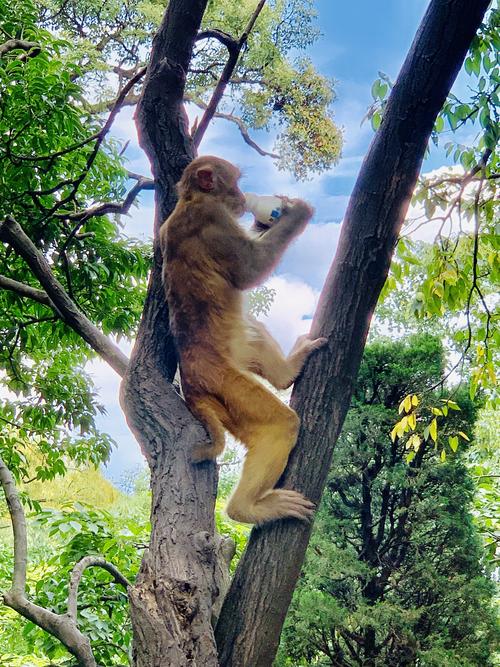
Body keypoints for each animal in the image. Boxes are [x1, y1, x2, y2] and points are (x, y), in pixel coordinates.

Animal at [158, 154, 326, 524]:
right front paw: (295, 212)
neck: (190, 200)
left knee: (254, 333)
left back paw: (286, 373)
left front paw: (269, 219)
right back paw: (245, 508)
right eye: (233, 182)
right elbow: (251, 269)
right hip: (226, 385)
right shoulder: (214, 222)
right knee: (279, 424)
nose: (240, 197)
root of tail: (192, 387)